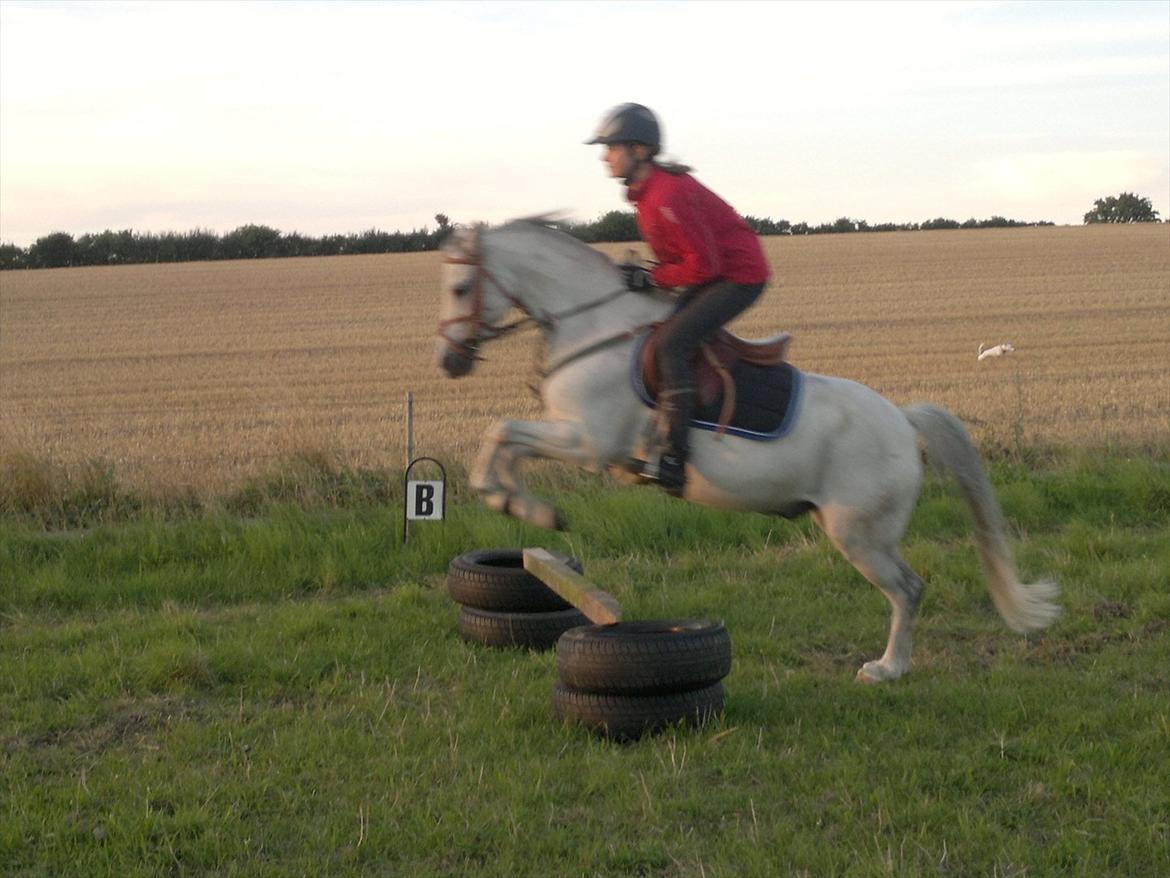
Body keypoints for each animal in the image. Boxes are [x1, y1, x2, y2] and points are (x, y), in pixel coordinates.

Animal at [437, 221, 1062, 688]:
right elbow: (505, 439)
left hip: (860, 534)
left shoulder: (588, 441)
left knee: (908, 590)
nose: (449, 362)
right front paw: (520, 506)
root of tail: (903, 422)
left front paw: (519, 504)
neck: (591, 328)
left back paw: (888, 668)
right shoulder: (575, 437)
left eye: (460, 289)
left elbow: (502, 431)